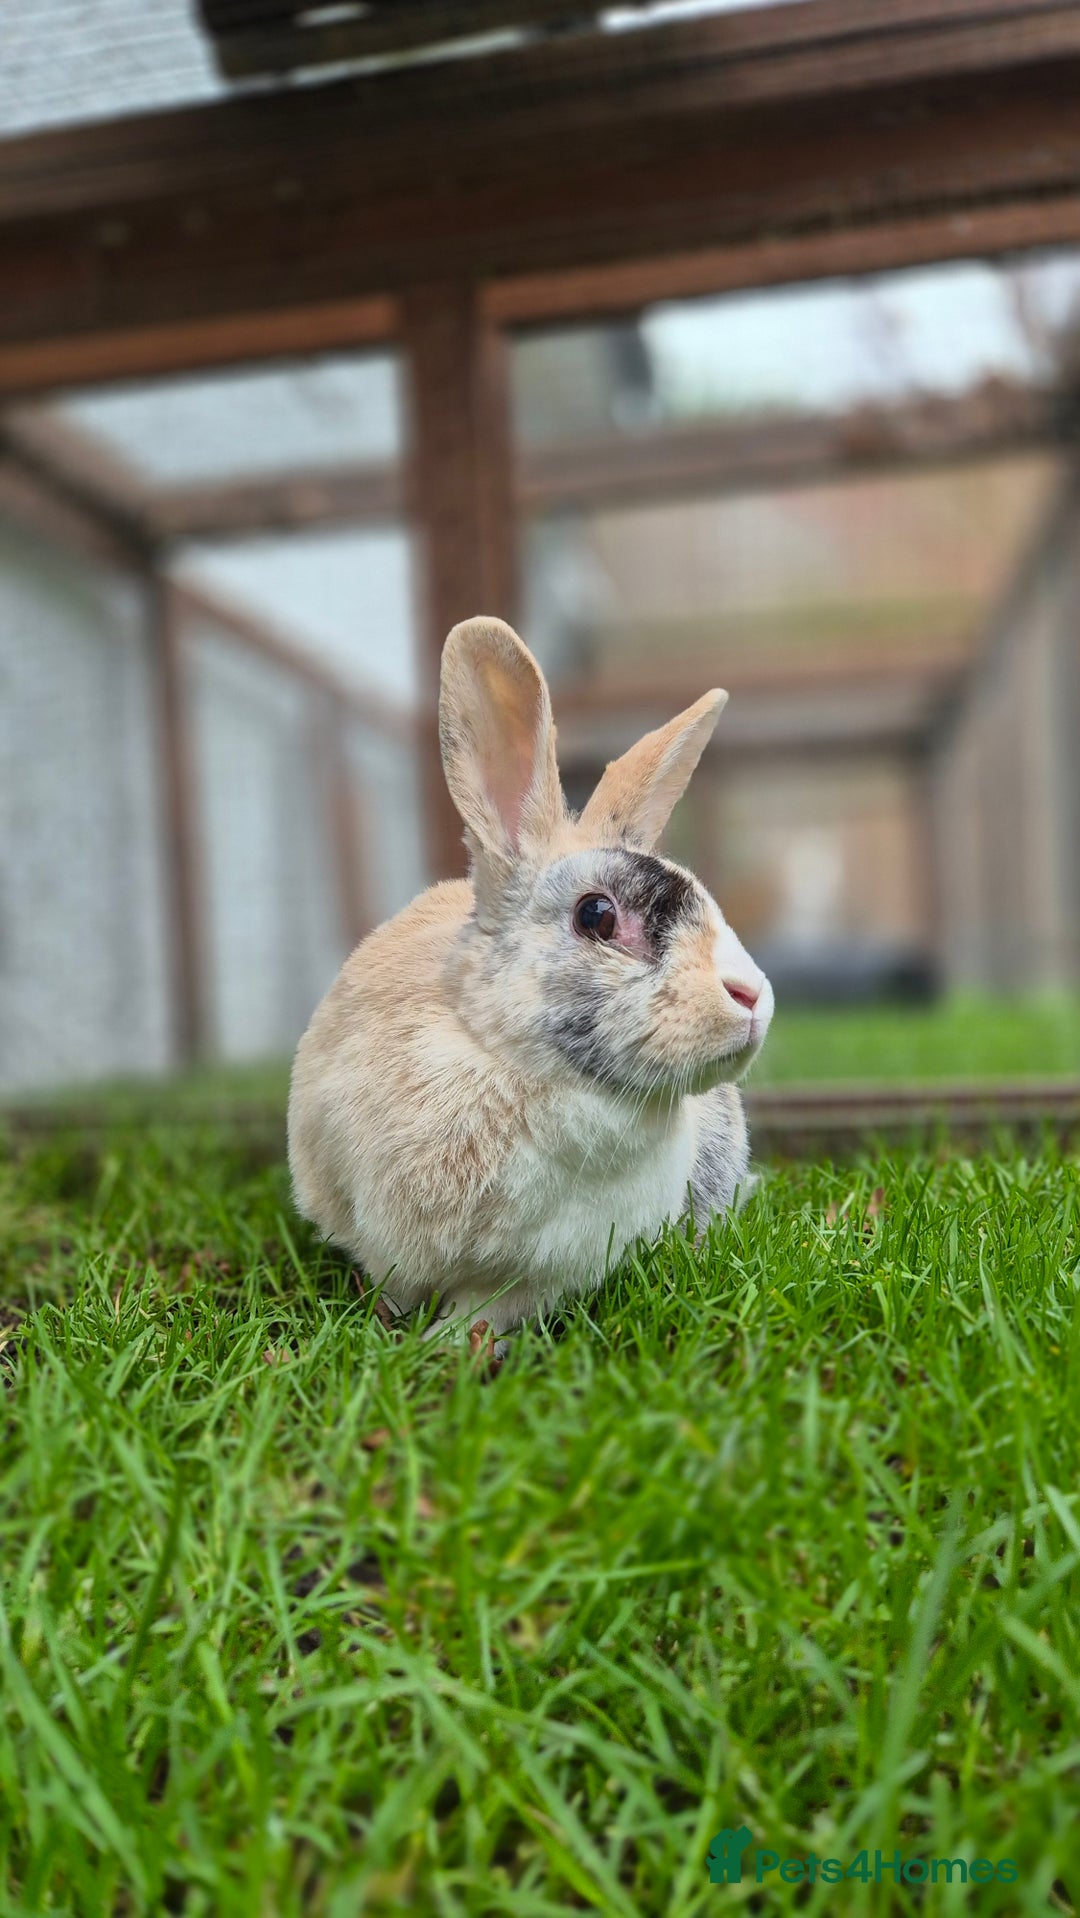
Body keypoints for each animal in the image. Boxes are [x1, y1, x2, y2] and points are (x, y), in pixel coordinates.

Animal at [288, 616, 773, 1339]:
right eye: (597, 915)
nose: (752, 995)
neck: (516, 1063)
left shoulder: (543, 1274)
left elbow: (486, 1311)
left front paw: (448, 1347)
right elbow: (391, 1285)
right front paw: (389, 1328)